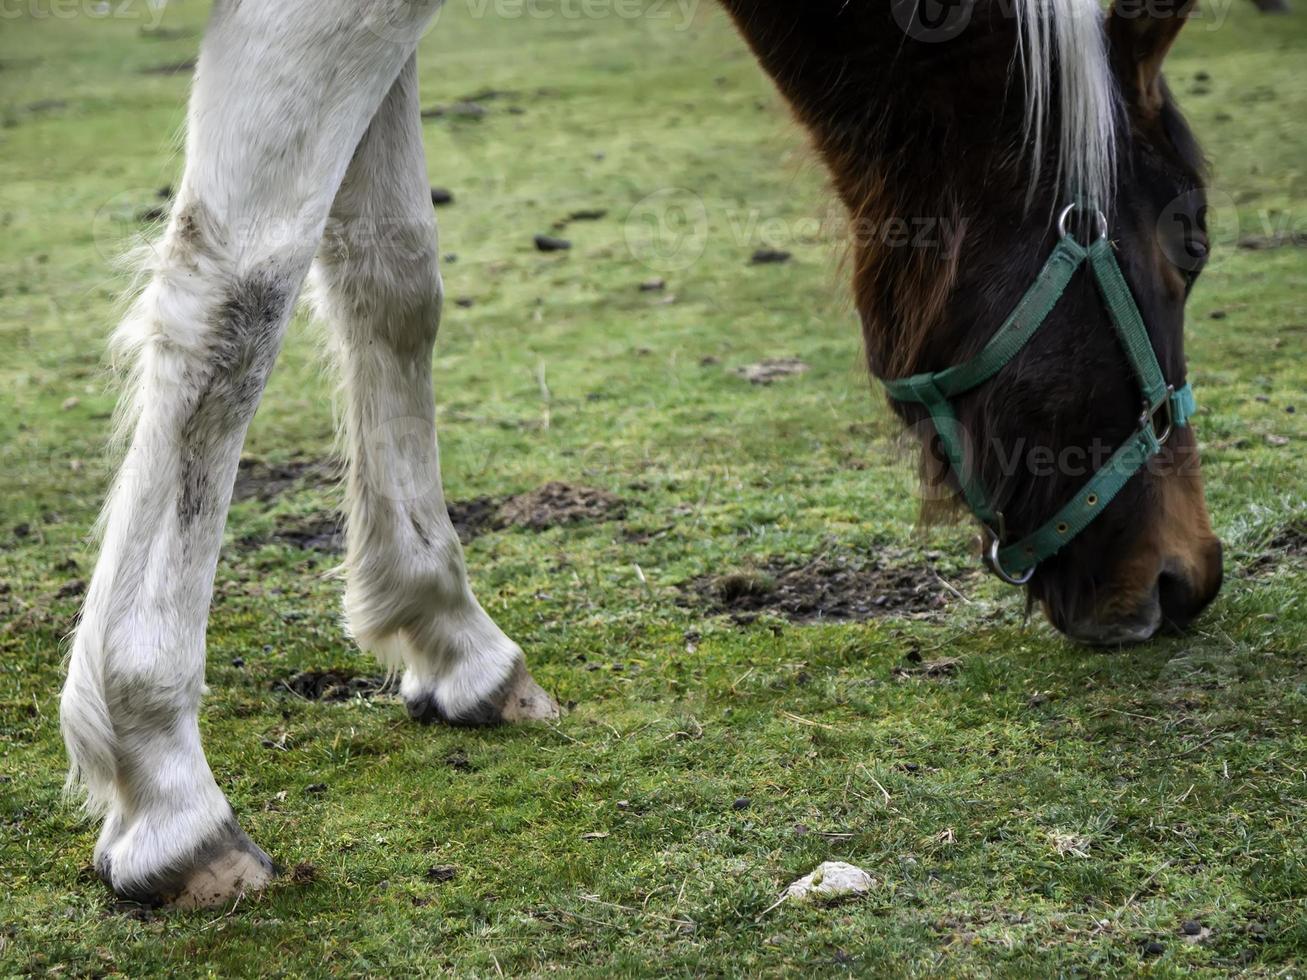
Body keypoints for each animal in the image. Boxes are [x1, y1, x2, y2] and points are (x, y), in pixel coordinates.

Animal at [61, 0, 1223, 909]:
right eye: (1194, 241)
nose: (1188, 578)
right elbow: (234, 303)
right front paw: (160, 773)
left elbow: (391, 274)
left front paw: (447, 631)